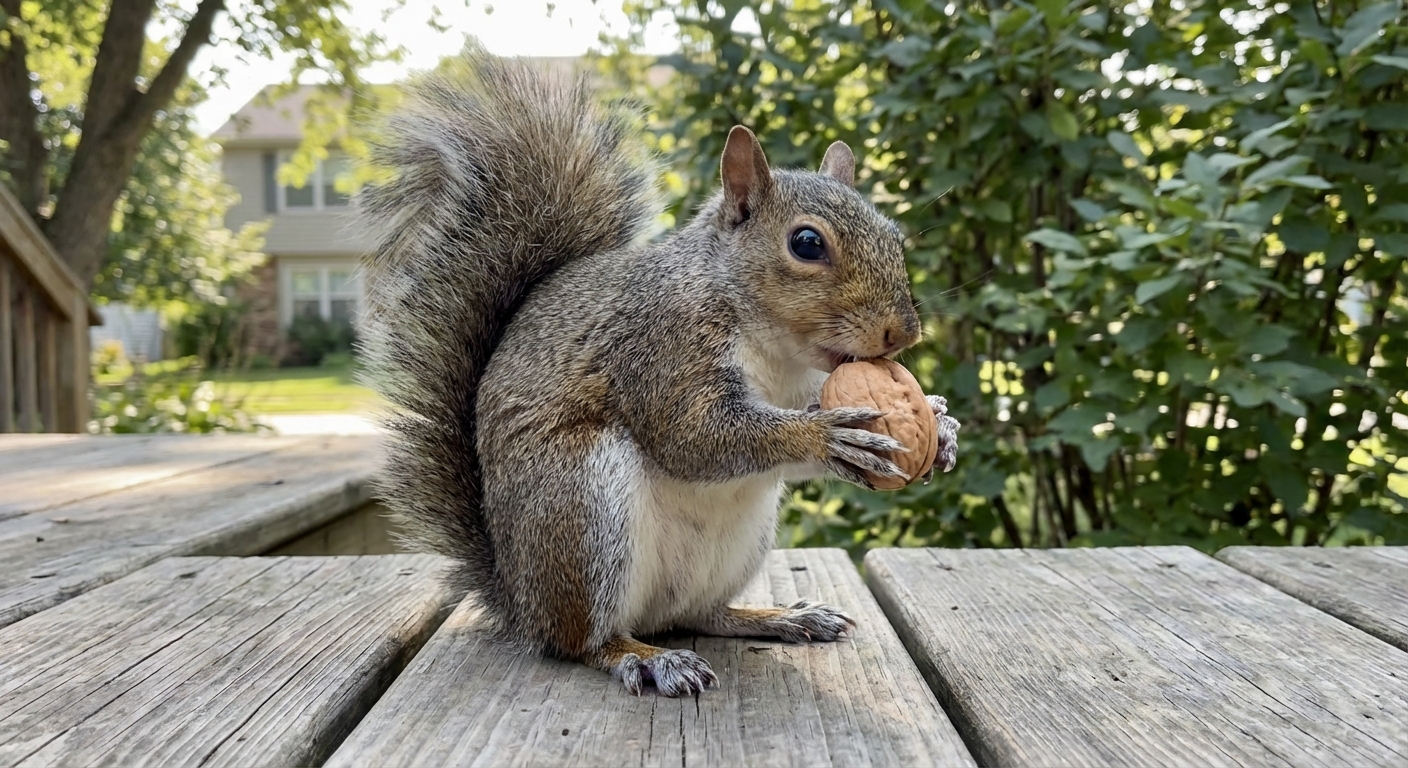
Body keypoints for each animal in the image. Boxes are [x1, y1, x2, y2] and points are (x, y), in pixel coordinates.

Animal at [356, 54, 960, 697]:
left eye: (894, 236)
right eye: (805, 243)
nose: (904, 334)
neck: (777, 351)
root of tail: (520, 601)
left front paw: (941, 426)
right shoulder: (661, 347)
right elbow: (693, 437)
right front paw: (826, 437)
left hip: (733, 545)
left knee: (703, 615)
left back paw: (777, 617)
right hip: (580, 501)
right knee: (581, 642)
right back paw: (644, 657)